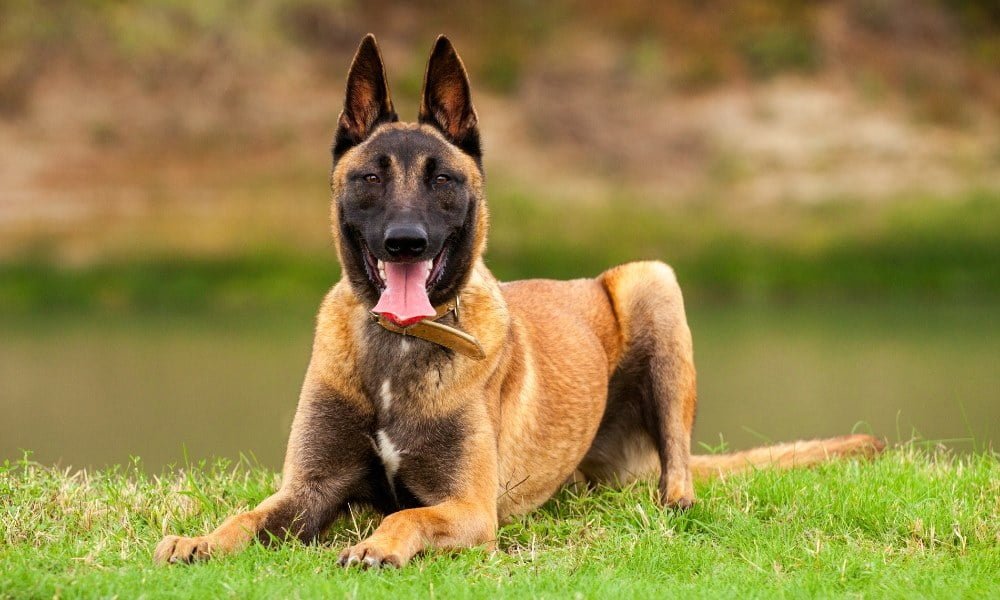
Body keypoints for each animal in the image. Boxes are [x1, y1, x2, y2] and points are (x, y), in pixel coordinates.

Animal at [152, 32, 888, 568]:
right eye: (369, 178)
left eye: (443, 179)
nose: (405, 242)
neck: (398, 349)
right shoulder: (307, 490)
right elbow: (249, 514)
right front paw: (202, 539)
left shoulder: (469, 507)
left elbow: (406, 512)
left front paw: (376, 544)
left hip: (651, 281)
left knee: (681, 472)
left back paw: (671, 501)